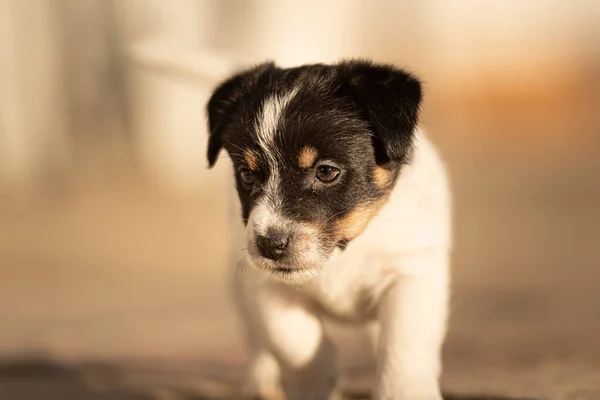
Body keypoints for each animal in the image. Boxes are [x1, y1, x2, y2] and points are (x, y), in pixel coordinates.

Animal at [205, 59, 450, 400]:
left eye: (326, 171)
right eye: (247, 175)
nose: (270, 245)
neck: (345, 250)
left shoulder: (411, 274)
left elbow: (403, 347)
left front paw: (405, 392)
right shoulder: (266, 287)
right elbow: (295, 342)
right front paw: (317, 382)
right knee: (256, 341)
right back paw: (261, 381)